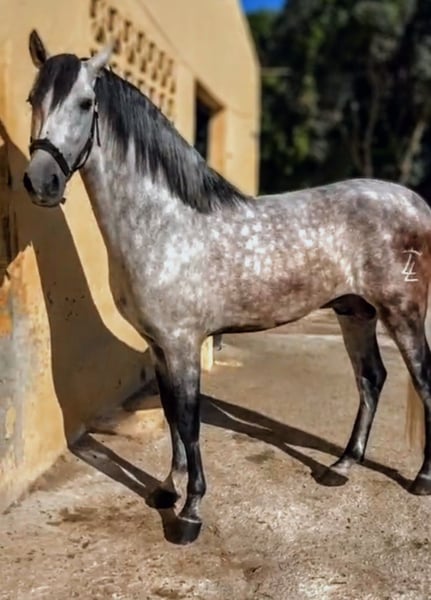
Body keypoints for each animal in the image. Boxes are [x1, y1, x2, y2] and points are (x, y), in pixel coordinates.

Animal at [23, 30, 431, 544]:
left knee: (422, 381)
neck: (164, 224)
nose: (41, 181)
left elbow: (190, 422)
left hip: (403, 313)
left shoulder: (182, 343)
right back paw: (340, 467)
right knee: (371, 378)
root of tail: (416, 202)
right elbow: (173, 416)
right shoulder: (160, 346)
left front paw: (190, 513)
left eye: (84, 102)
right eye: (32, 99)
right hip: (354, 311)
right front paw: (167, 489)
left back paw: (422, 479)